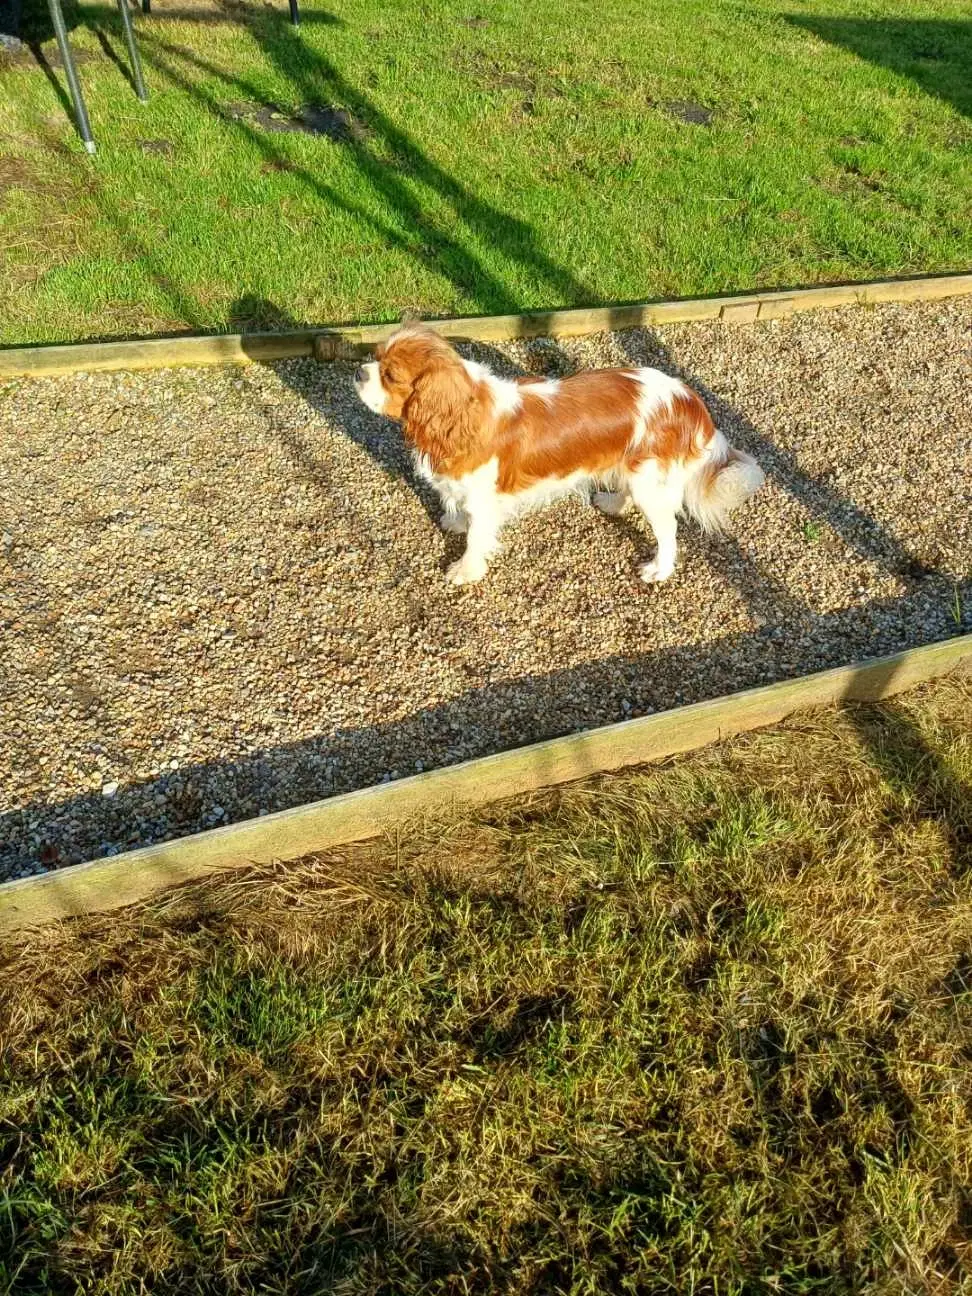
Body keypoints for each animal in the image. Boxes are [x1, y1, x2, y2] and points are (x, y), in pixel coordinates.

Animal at [355, 324, 767, 588]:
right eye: (375, 358)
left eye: (391, 376)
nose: (359, 372)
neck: (462, 413)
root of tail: (688, 398)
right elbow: (457, 509)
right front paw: (454, 521)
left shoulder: (484, 500)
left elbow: (476, 536)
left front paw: (465, 570)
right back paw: (613, 502)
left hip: (651, 481)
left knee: (668, 529)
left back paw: (659, 570)